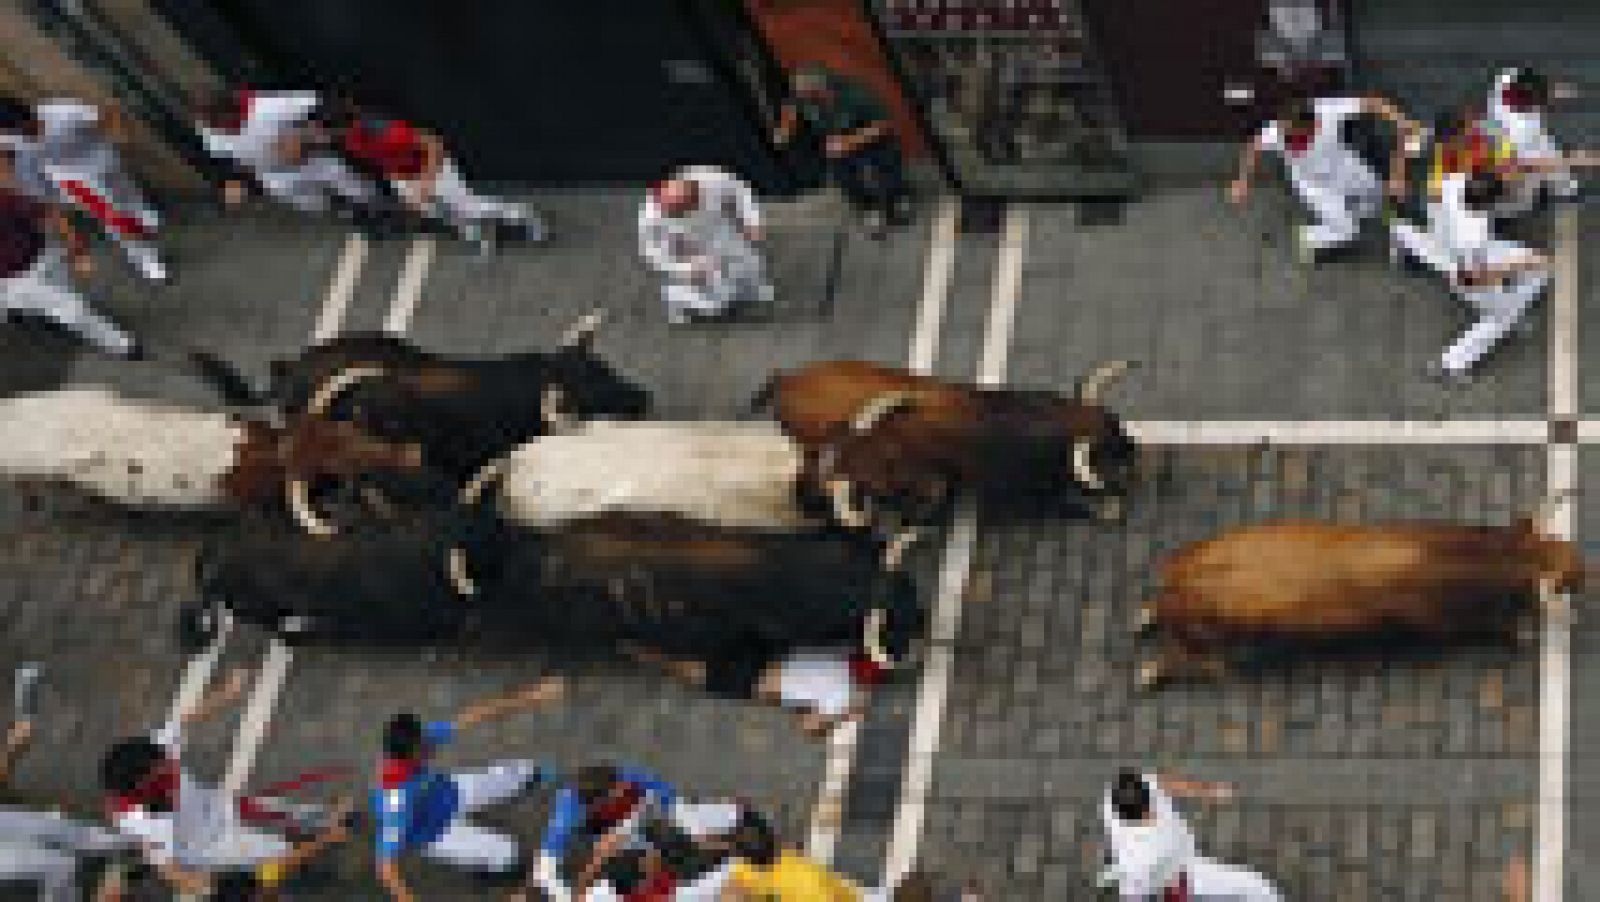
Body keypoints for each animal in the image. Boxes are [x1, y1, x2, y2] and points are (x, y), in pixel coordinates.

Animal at [1132, 505, 1580, 687]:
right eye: (1561, 577)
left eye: (1555, 542)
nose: (1582, 564)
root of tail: (1181, 580)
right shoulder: (1440, 624)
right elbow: (1487, 627)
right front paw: (1520, 631)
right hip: (1207, 642)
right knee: (1178, 658)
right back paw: (1148, 672)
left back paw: (1143, 617)